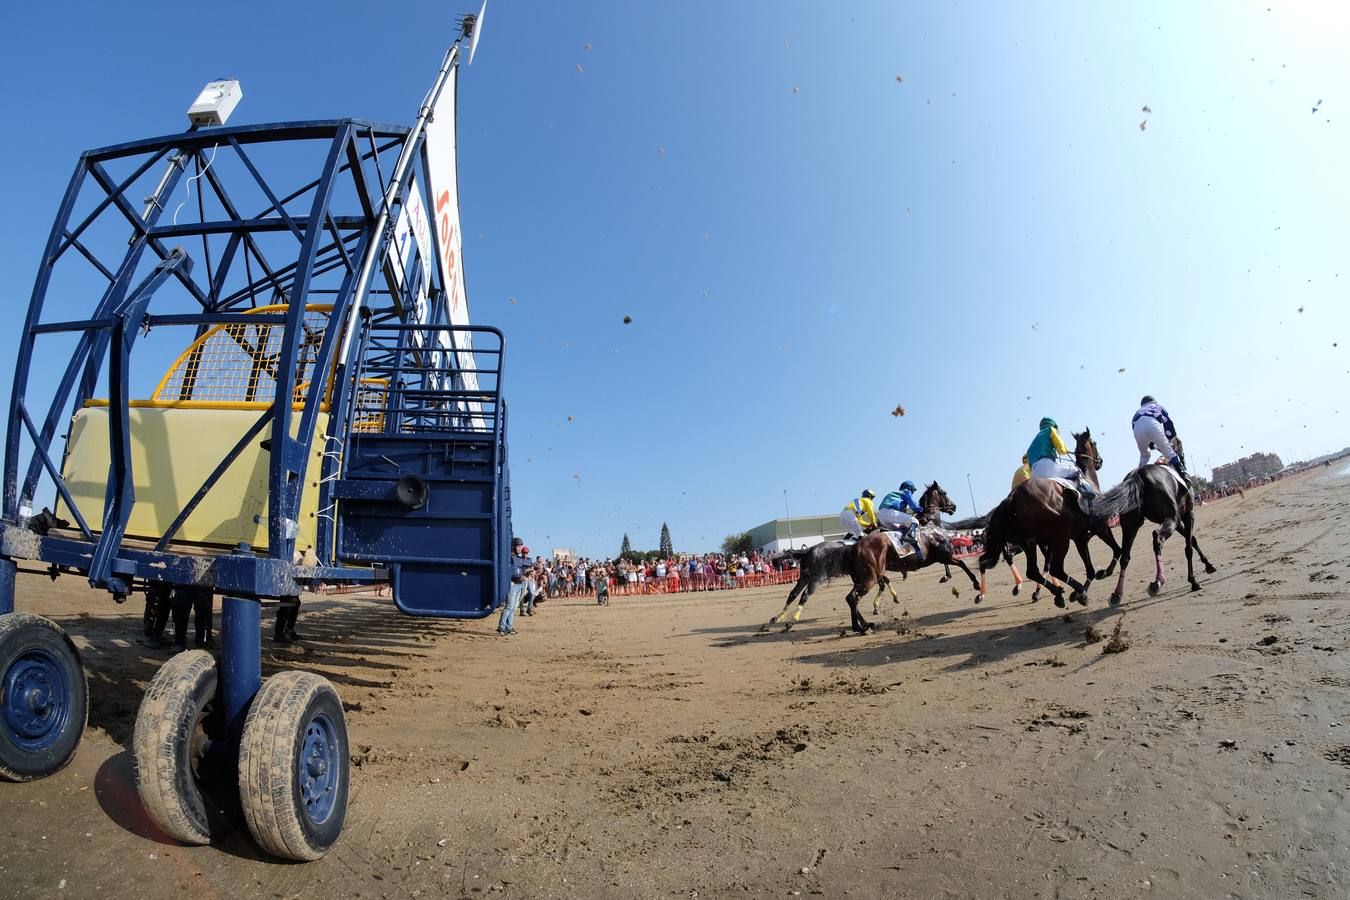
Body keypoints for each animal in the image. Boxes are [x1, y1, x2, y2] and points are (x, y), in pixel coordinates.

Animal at [977, 429, 1123, 612]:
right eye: (1094, 443)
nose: (1099, 461)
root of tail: (1012, 497)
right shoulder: (1102, 527)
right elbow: (1117, 550)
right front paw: (1103, 574)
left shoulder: (1081, 539)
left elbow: (1089, 570)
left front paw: (1079, 594)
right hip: (1060, 537)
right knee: (1056, 568)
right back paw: (1072, 591)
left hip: (1029, 542)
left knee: (1033, 570)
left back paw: (1061, 593)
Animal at [1085, 458, 1215, 604]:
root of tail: (1138, 476)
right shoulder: (1187, 515)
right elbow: (1189, 547)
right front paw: (1194, 581)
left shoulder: (1177, 522)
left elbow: (1193, 540)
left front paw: (1208, 565)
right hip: (1171, 518)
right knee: (1157, 539)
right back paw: (1157, 581)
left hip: (1131, 524)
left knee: (1125, 555)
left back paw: (1117, 593)